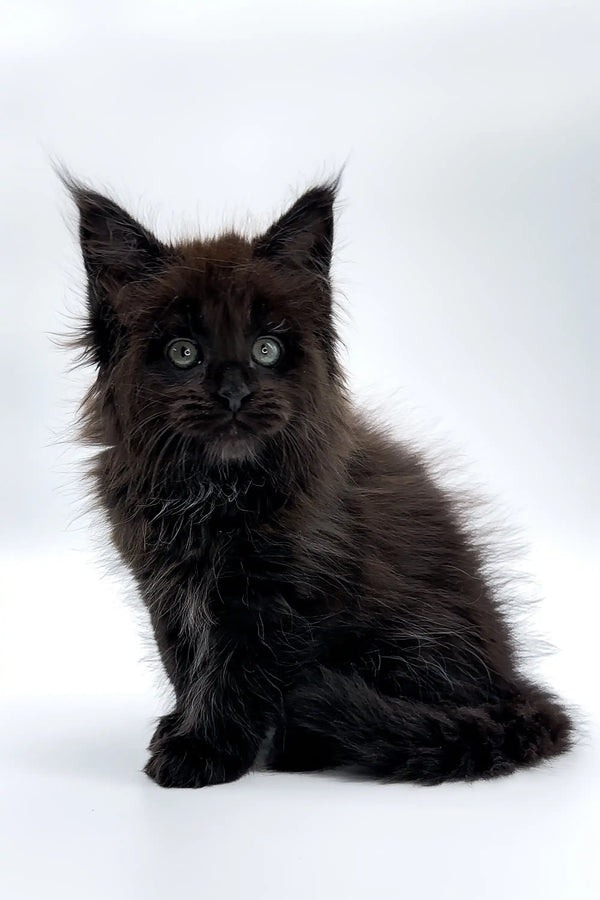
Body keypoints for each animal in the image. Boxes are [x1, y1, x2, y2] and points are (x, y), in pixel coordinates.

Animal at [65, 178, 572, 788]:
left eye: (266, 349)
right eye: (183, 353)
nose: (234, 394)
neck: (214, 492)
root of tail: (512, 685)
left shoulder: (278, 593)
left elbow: (235, 672)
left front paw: (203, 750)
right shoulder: (162, 583)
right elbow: (183, 659)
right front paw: (182, 726)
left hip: (412, 637)